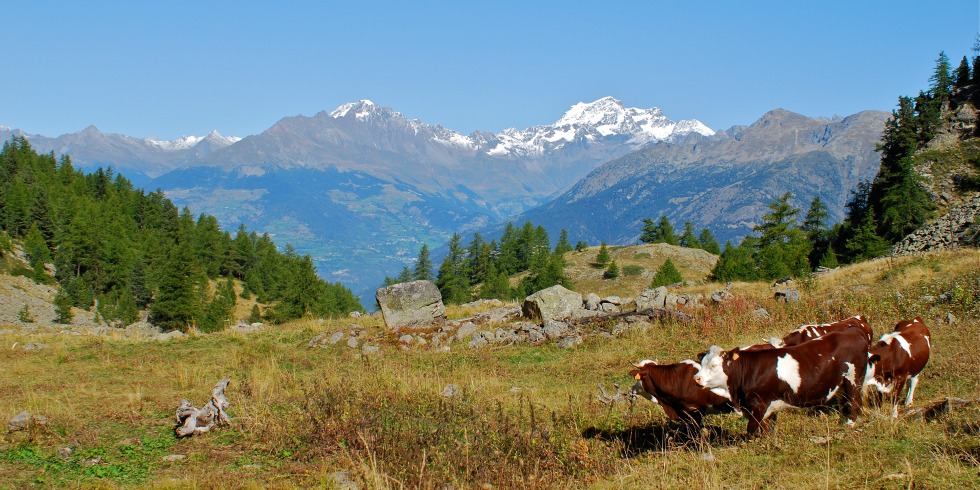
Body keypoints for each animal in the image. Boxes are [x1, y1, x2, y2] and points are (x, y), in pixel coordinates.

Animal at [692, 326, 868, 436]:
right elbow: (765, 429)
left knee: (855, 401)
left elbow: (751, 431)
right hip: (842, 383)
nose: (696, 378)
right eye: (702, 363)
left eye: (714, 365)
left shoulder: (758, 404)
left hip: (854, 378)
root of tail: (852, 331)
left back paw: (850, 423)